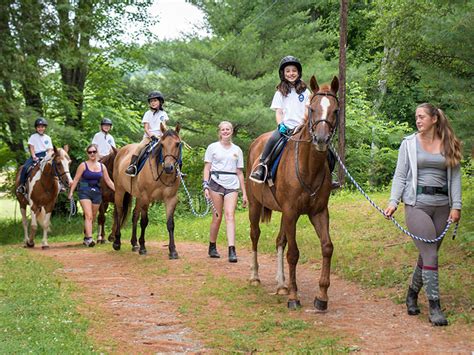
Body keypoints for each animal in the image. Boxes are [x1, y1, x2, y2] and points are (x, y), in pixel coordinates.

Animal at [112, 124, 182, 258]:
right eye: (162, 144)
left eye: (177, 144)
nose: (169, 167)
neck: (162, 174)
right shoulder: (146, 198)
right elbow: (144, 222)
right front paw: (143, 248)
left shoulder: (170, 199)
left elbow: (170, 224)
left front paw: (172, 251)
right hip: (120, 191)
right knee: (119, 213)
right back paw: (117, 242)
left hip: (137, 197)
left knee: (134, 215)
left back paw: (134, 244)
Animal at [246, 76, 338, 312]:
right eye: (312, 109)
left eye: (335, 110)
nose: (321, 139)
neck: (309, 167)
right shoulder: (291, 212)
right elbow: (294, 253)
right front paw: (294, 297)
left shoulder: (318, 212)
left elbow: (327, 247)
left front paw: (322, 296)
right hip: (254, 205)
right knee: (255, 235)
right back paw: (255, 277)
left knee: (279, 240)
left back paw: (281, 284)